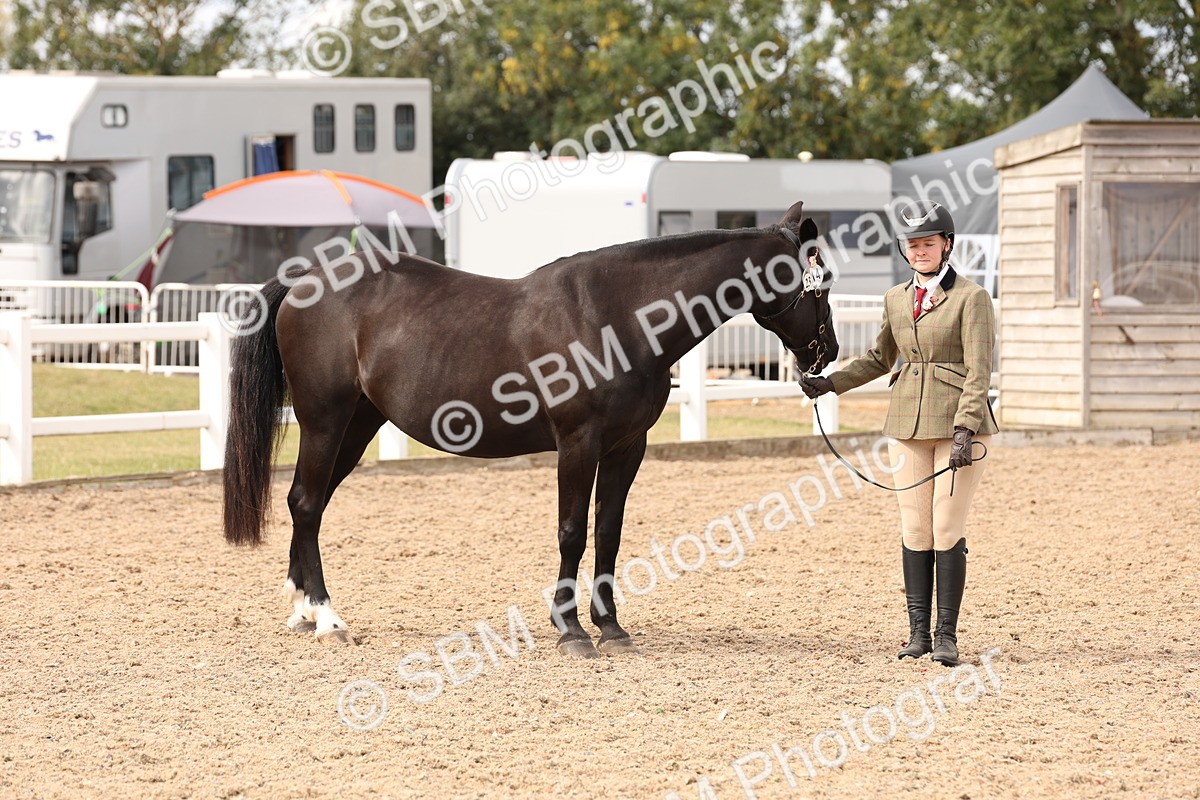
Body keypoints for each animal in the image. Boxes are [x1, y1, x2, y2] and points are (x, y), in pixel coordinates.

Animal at [222, 200, 839, 658]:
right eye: (820, 282)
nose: (828, 352)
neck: (619, 317)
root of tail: (305, 280)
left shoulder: (626, 448)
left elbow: (608, 531)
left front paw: (610, 626)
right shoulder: (578, 443)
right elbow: (572, 532)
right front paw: (571, 630)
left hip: (358, 425)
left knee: (310, 503)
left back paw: (303, 609)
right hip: (324, 421)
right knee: (306, 503)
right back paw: (327, 618)